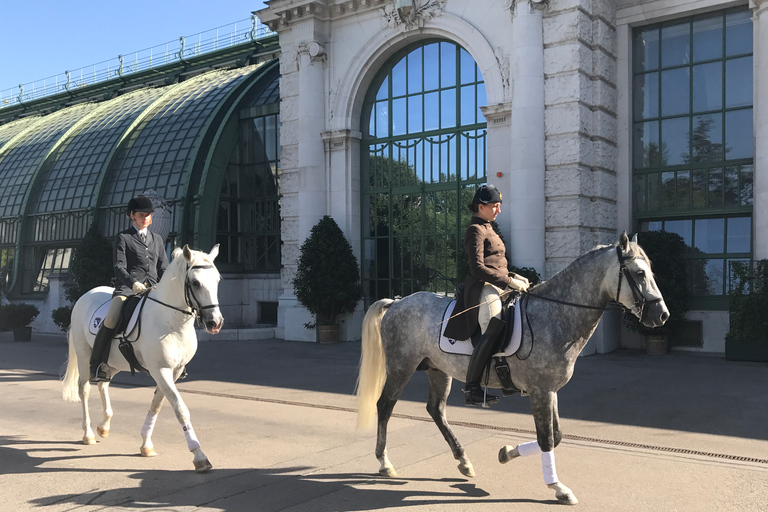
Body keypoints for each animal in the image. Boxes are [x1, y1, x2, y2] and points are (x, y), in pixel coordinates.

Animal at [62, 244, 222, 472]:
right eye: (195, 283)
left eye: (217, 280)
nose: (215, 322)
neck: (170, 321)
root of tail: (87, 294)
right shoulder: (160, 370)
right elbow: (180, 409)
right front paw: (199, 455)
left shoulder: (173, 371)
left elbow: (156, 404)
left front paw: (146, 445)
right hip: (85, 356)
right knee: (84, 390)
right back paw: (88, 434)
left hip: (112, 362)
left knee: (103, 383)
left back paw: (104, 426)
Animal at [356, 232, 668, 504]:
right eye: (640, 273)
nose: (662, 315)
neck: (554, 316)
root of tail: (397, 302)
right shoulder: (540, 391)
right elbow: (546, 438)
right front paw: (558, 488)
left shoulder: (550, 390)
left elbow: (556, 436)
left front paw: (506, 453)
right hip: (401, 367)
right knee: (385, 406)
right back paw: (384, 463)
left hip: (437, 370)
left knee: (436, 410)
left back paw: (464, 461)